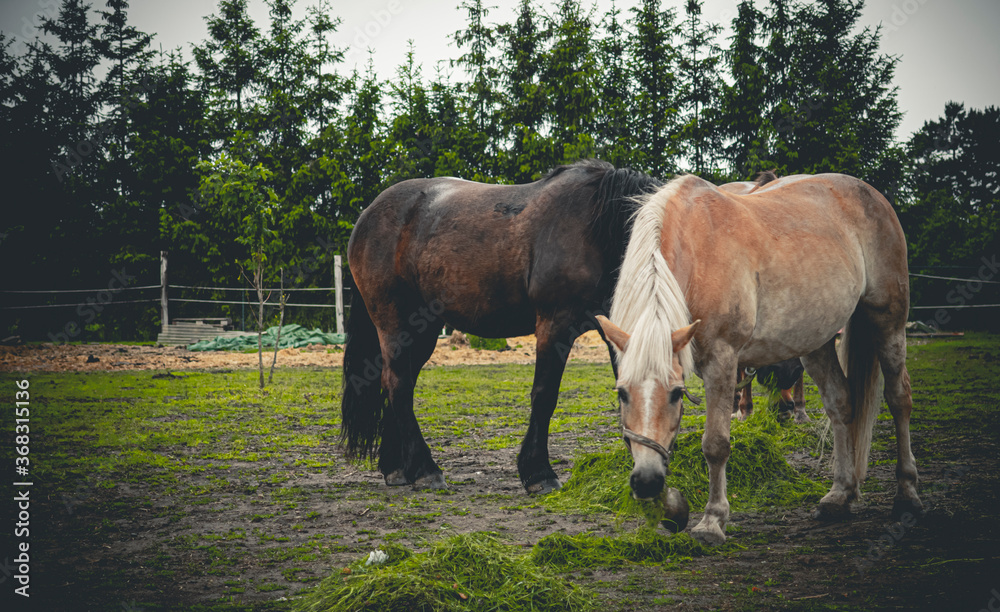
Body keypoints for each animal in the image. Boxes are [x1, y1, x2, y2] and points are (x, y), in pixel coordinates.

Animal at [339, 160, 662, 494]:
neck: (598, 229)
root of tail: (368, 214)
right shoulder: (555, 324)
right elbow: (544, 395)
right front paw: (538, 472)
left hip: (423, 329)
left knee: (397, 384)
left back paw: (397, 468)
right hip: (393, 322)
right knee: (398, 384)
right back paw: (425, 469)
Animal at [596, 172, 922, 546]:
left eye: (677, 394)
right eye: (622, 393)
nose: (646, 481)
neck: (699, 250)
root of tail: (872, 195)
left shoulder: (722, 361)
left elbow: (715, 444)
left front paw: (712, 520)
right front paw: (670, 507)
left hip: (889, 321)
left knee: (899, 399)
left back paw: (907, 495)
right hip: (815, 340)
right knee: (841, 403)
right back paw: (840, 494)